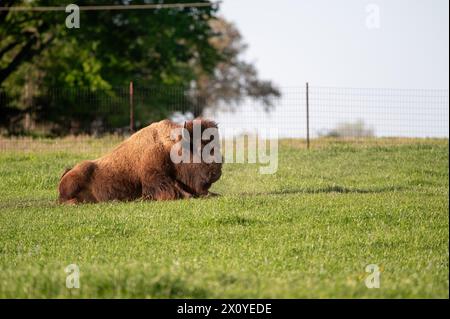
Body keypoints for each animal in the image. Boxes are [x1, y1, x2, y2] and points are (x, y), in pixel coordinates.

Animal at [58, 119, 223, 205]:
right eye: (200, 147)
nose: (217, 172)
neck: (170, 146)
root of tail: (66, 174)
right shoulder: (155, 180)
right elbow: (174, 192)